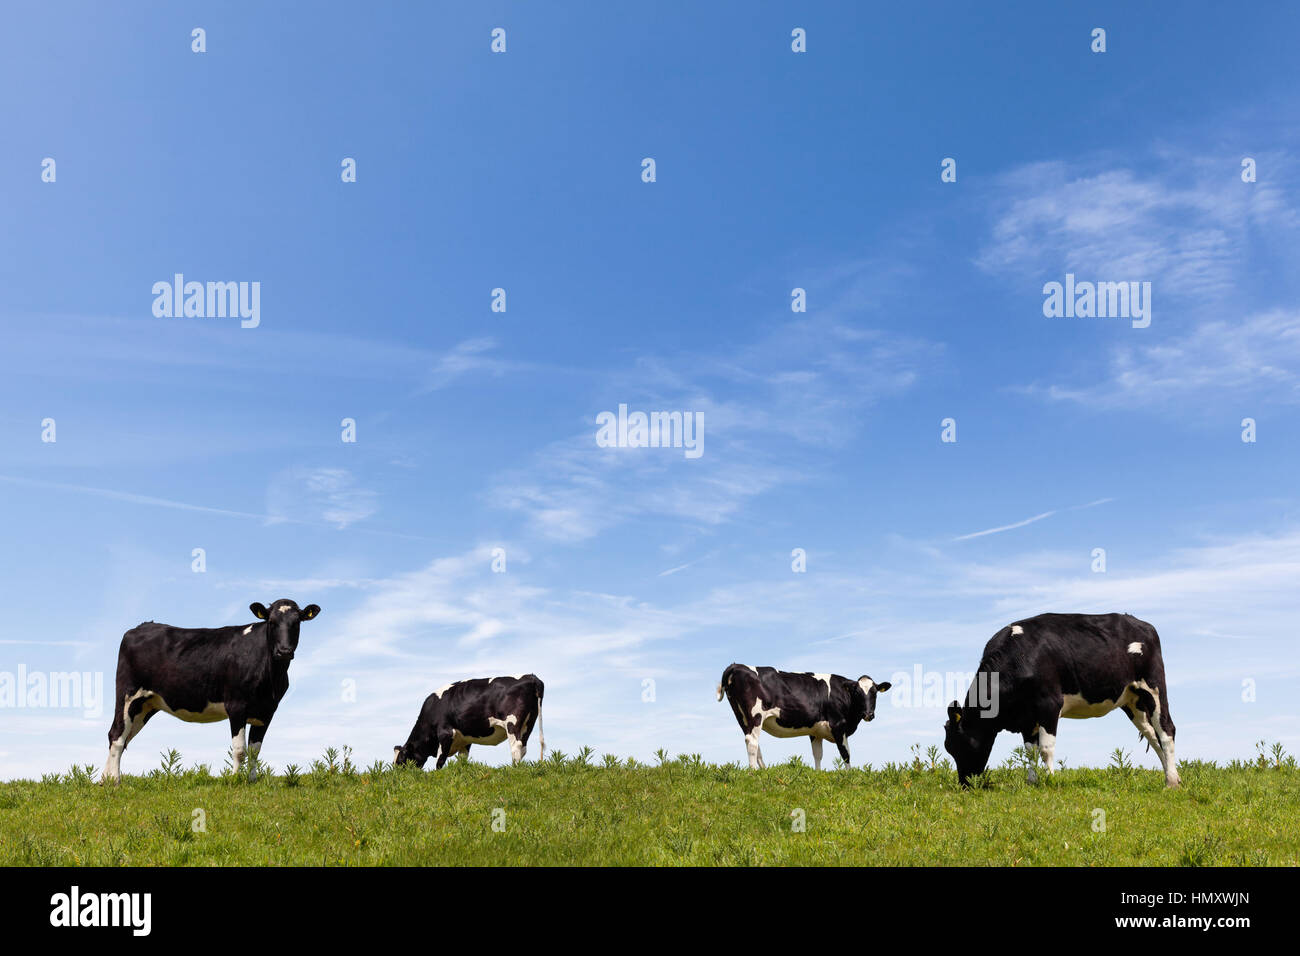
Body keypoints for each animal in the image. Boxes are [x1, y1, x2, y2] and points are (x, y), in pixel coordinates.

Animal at [102, 598, 321, 785]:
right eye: (272, 622)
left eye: (297, 623)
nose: (284, 651)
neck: (271, 677)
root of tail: (141, 626)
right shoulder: (236, 705)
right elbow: (240, 750)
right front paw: (235, 780)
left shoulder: (267, 711)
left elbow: (255, 751)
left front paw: (252, 781)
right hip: (128, 695)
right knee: (117, 735)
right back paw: (115, 781)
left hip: (146, 705)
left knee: (123, 736)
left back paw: (104, 780)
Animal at [390, 671, 543, 770]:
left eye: (401, 760)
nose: (397, 776)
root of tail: (530, 677)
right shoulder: (465, 739)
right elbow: (462, 759)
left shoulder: (446, 732)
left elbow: (440, 759)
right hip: (529, 723)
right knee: (523, 747)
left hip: (512, 723)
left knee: (516, 746)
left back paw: (514, 769)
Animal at [717, 665, 889, 770]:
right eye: (857, 693)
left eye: (874, 693)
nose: (868, 714)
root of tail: (737, 666)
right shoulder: (839, 726)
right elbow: (845, 754)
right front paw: (849, 774)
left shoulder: (816, 731)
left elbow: (818, 754)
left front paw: (818, 773)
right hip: (755, 715)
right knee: (752, 741)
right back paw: (753, 772)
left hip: (742, 717)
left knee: (752, 740)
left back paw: (763, 770)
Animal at [946, 616, 1180, 790]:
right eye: (949, 749)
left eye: (961, 744)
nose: (965, 785)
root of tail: (1144, 624)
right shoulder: (1026, 717)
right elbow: (1030, 751)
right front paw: (1032, 782)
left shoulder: (1049, 704)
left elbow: (1046, 748)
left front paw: (1049, 780)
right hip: (1133, 701)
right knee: (1153, 735)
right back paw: (1172, 776)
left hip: (1153, 686)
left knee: (1166, 730)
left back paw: (1171, 783)